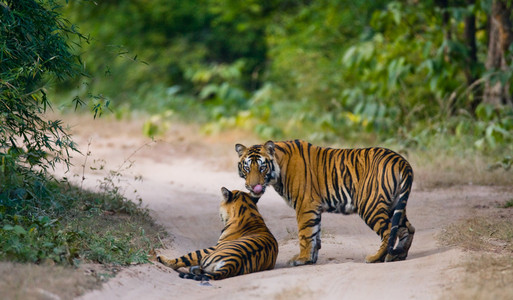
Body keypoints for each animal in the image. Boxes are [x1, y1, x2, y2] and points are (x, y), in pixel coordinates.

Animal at [234, 139, 414, 266]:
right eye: (247, 168)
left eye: (262, 167)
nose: (253, 186)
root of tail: (400, 160)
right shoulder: (314, 208)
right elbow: (315, 233)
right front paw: (311, 258)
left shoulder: (305, 205)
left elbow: (305, 233)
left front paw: (302, 259)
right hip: (395, 204)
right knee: (407, 228)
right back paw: (397, 255)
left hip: (370, 204)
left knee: (388, 230)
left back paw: (375, 257)